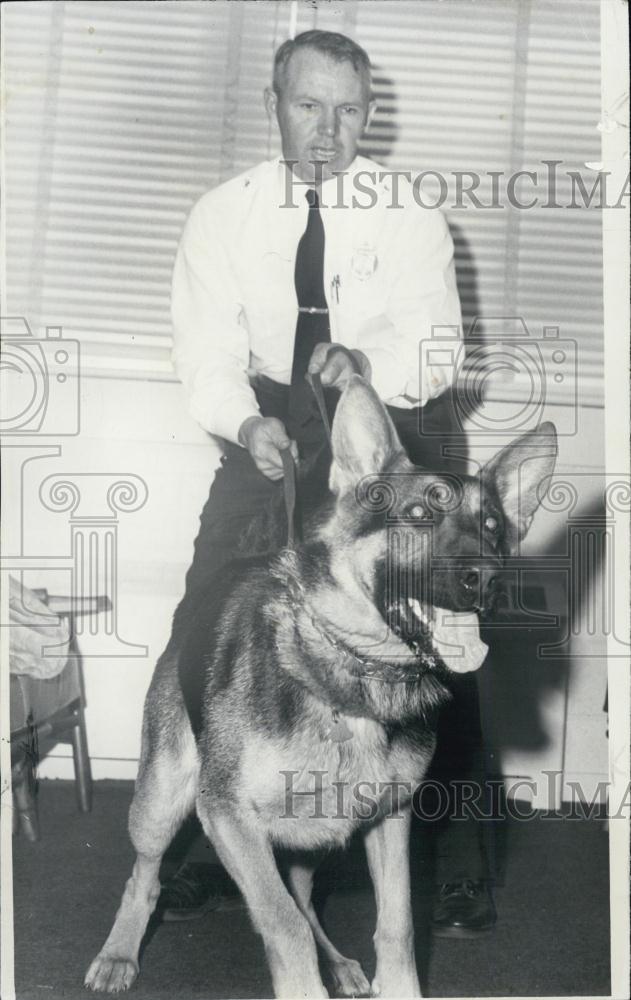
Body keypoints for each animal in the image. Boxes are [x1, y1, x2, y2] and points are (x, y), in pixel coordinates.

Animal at [84, 376, 556, 1000]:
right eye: (417, 514)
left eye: (494, 528)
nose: (490, 579)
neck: (356, 674)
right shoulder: (228, 817)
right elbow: (283, 925)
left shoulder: (390, 816)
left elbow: (396, 924)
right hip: (162, 802)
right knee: (146, 877)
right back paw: (117, 955)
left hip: (309, 838)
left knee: (306, 900)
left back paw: (341, 965)